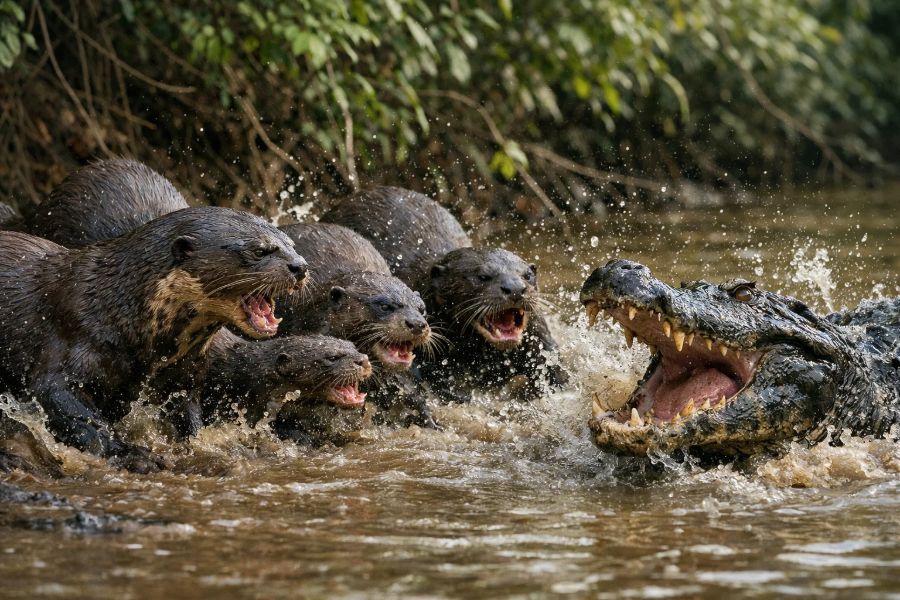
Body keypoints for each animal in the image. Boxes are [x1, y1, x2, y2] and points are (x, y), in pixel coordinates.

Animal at [0, 207, 306, 472]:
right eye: (259, 250)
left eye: (291, 244)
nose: (300, 266)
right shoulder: (73, 338)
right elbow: (70, 407)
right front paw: (132, 454)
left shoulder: (183, 377)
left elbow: (188, 417)